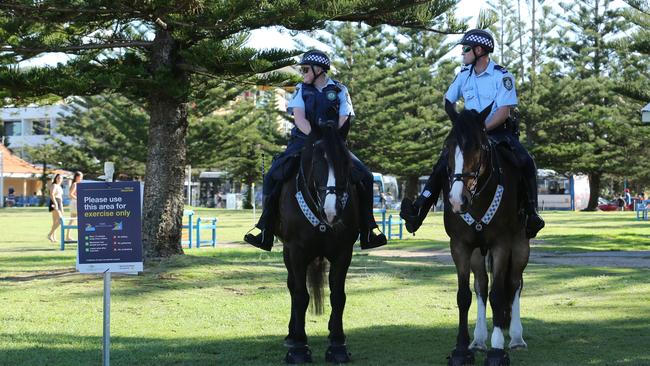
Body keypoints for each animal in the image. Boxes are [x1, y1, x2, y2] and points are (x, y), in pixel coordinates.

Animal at [274, 121, 360, 364]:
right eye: (316, 161)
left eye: (346, 162)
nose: (332, 211)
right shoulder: (296, 251)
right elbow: (300, 296)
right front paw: (299, 347)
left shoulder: (343, 252)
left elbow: (338, 296)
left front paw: (338, 344)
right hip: (287, 253)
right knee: (292, 287)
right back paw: (292, 334)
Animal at [438, 108, 528, 366]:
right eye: (448, 147)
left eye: (478, 147)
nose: (457, 200)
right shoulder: (459, 246)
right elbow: (464, 295)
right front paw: (461, 348)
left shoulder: (501, 245)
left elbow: (498, 295)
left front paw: (497, 350)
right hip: (478, 252)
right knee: (481, 286)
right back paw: (478, 340)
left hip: (520, 246)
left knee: (514, 284)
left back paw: (516, 337)